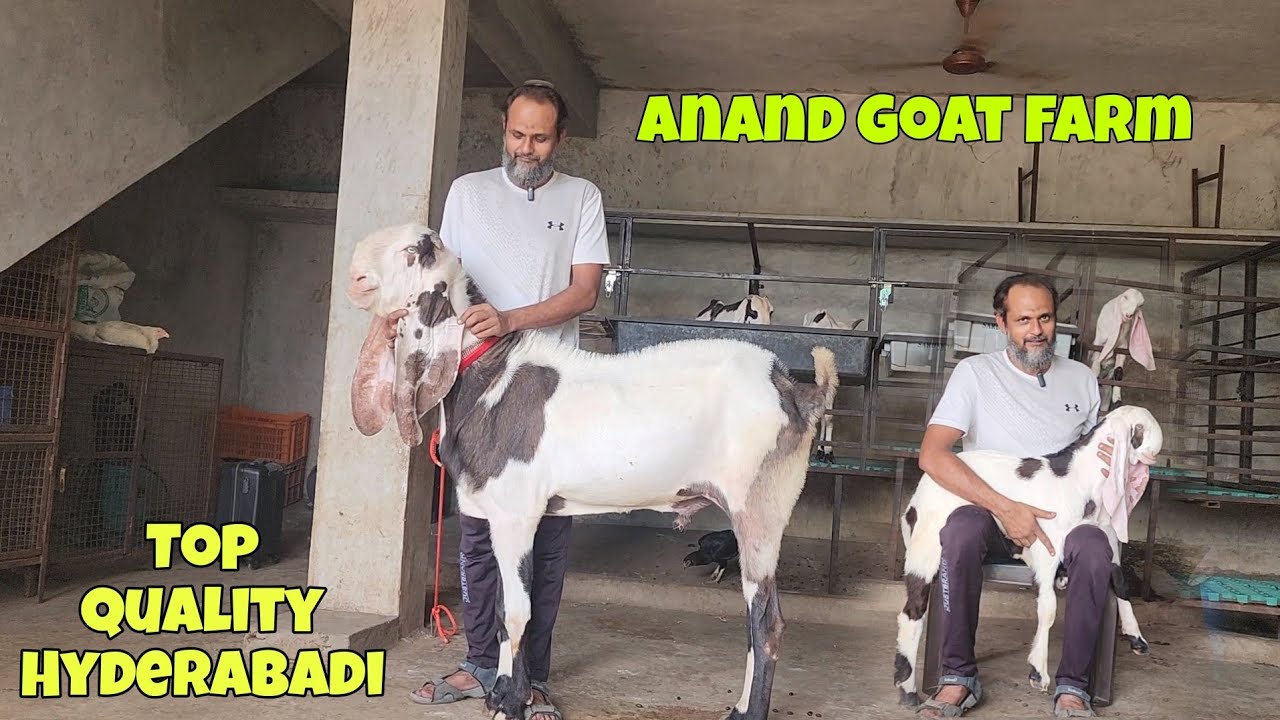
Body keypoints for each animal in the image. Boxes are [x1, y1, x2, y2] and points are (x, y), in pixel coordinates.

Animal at [346, 223, 839, 720]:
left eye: (418, 249)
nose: (355, 276)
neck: (491, 375)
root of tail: (794, 390)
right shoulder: (493, 512)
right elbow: (503, 608)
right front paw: (500, 693)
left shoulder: (517, 513)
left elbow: (518, 612)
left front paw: (513, 701)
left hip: (760, 507)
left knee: (765, 620)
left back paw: (747, 710)